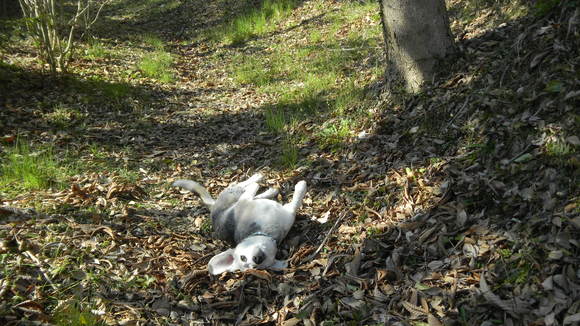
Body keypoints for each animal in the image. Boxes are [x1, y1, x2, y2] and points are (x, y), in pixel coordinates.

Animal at [173, 173, 306, 276]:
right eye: (243, 259)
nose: (257, 259)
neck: (263, 233)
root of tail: (213, 207)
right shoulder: (289, 212)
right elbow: (296, 201)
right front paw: (301, 186)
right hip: (234, 193)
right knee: (240, 186)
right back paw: (259, 180)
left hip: (234, 195)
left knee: (244, 188)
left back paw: (266, 188)